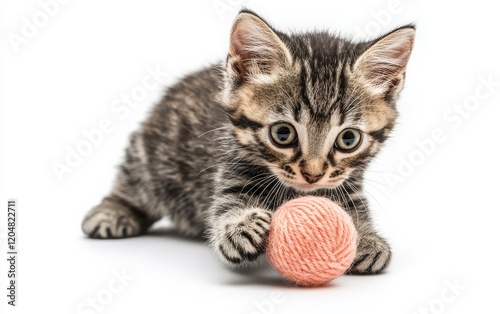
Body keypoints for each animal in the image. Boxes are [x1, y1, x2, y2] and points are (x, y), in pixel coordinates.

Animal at [82, 9, 416, 274]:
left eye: (348, 138)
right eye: (283, 134)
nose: (312, 174)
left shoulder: (349, 184)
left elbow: (355, 209)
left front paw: (367, 238)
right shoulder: (229, 172)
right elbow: (225, 210)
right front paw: (239, 228)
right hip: (151, 154)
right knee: (132, 182)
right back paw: (112, 211)